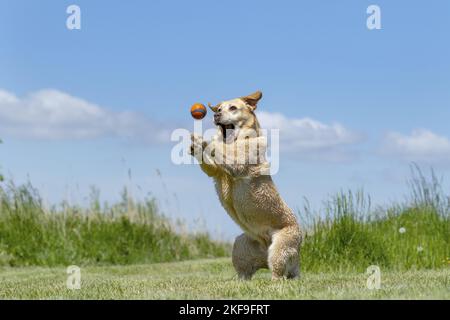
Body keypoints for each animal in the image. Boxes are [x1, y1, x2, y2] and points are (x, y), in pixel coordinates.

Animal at [190, 90, 302, 280]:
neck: (235, 141)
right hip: (240, 246)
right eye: (219, 108)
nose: (216, 115)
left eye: (233, 108)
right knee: (246, 272)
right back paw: (240, 281)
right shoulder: (215, 171)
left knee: (279, 274)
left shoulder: (238, 162)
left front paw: (201, 139)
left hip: (279, 249)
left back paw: (275, 281)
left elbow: (219, 148)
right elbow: (209, 162)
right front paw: (194, 147)